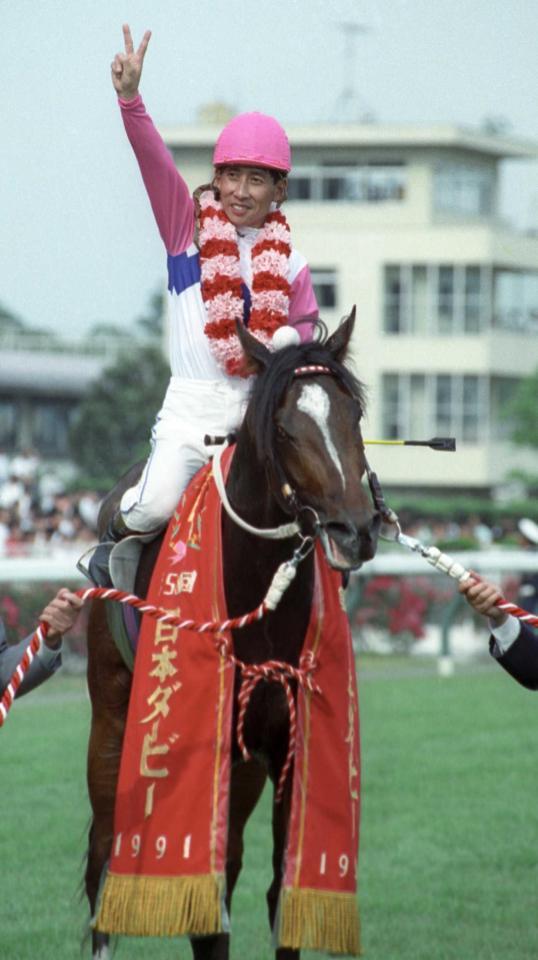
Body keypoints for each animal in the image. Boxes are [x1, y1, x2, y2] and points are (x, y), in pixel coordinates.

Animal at [85, 312, 376, 956]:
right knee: (101, 857)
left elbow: (283, 894)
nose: (355, 531)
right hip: (114, 719)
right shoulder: (204, 742)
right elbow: (206, 906)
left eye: (354, 417)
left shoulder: (290, 743)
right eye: (284, 430)